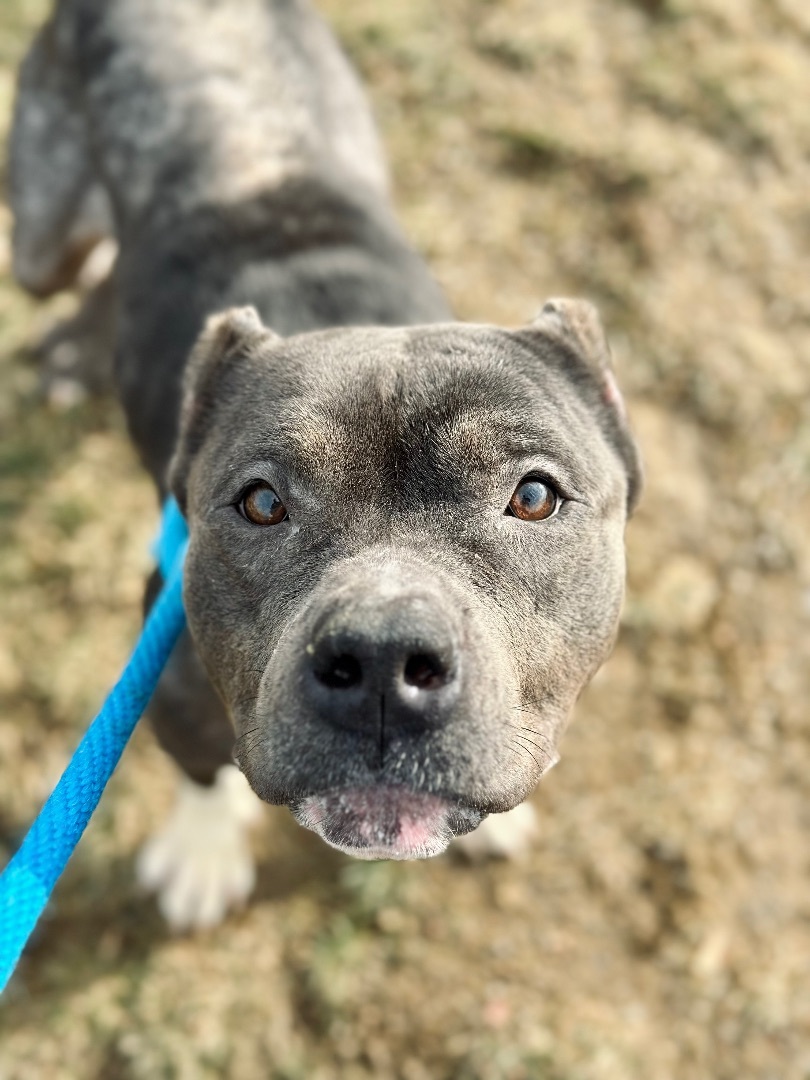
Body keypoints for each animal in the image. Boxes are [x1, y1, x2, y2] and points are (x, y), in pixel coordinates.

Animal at [6, 0, 639, 928]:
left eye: (532, 496)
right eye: (262, 503)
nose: (382, 660)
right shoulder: (172, 689)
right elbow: (201, 770)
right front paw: (204, 851)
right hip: (40, 234)